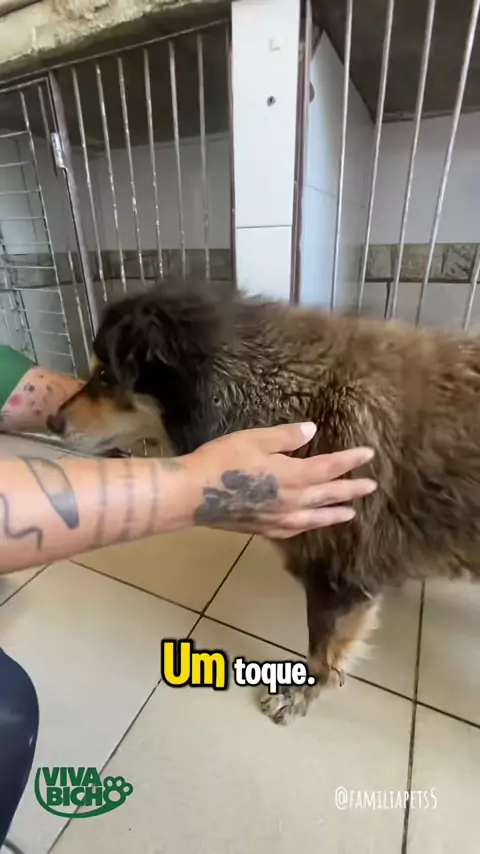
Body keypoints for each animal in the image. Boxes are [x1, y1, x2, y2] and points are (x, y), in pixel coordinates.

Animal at [49, 280, 480, 724]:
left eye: (104, 376)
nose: (50, 421)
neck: (297, 401)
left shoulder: (337, 577)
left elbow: (322, 653)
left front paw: (301, 694)